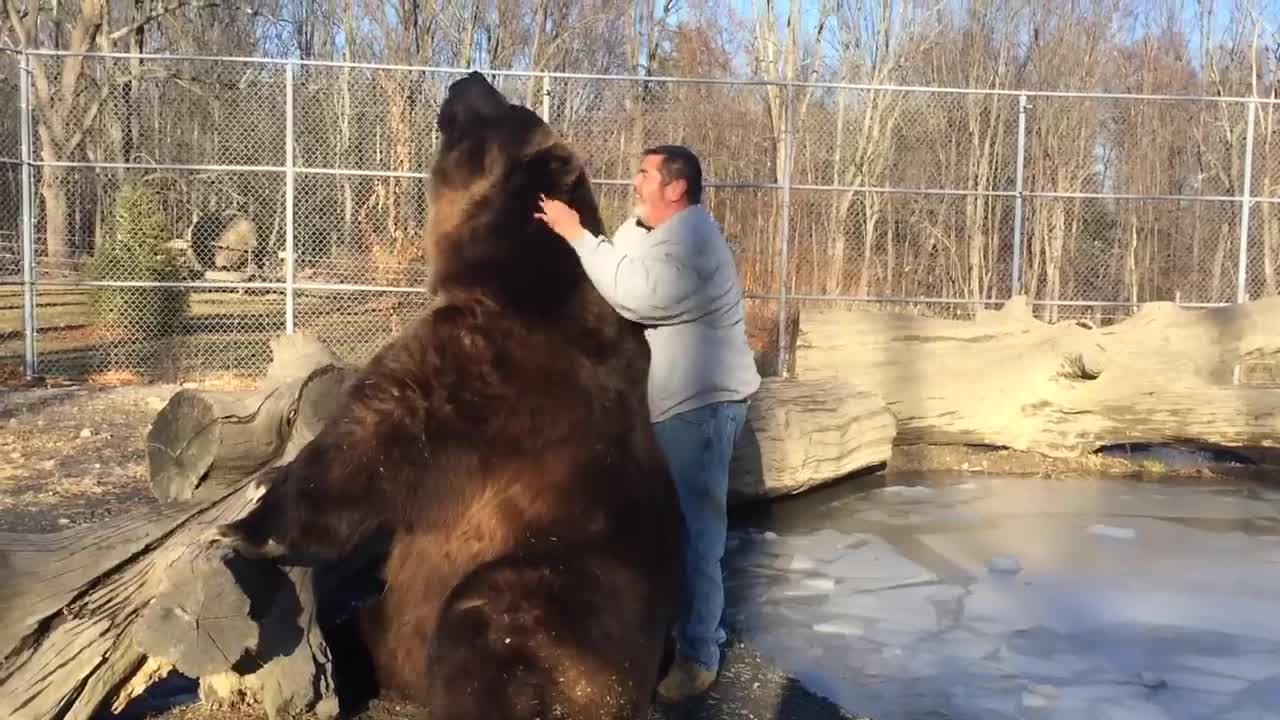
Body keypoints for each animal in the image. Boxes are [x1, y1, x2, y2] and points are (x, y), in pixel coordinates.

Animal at [215, 68, 686, 717]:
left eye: (505, 109)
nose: (470, 77)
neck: (506, 273)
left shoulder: (481, 374)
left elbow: (367, 441)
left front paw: (249, 522)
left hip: (547, 595)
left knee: (489, 623)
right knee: (369, 623)